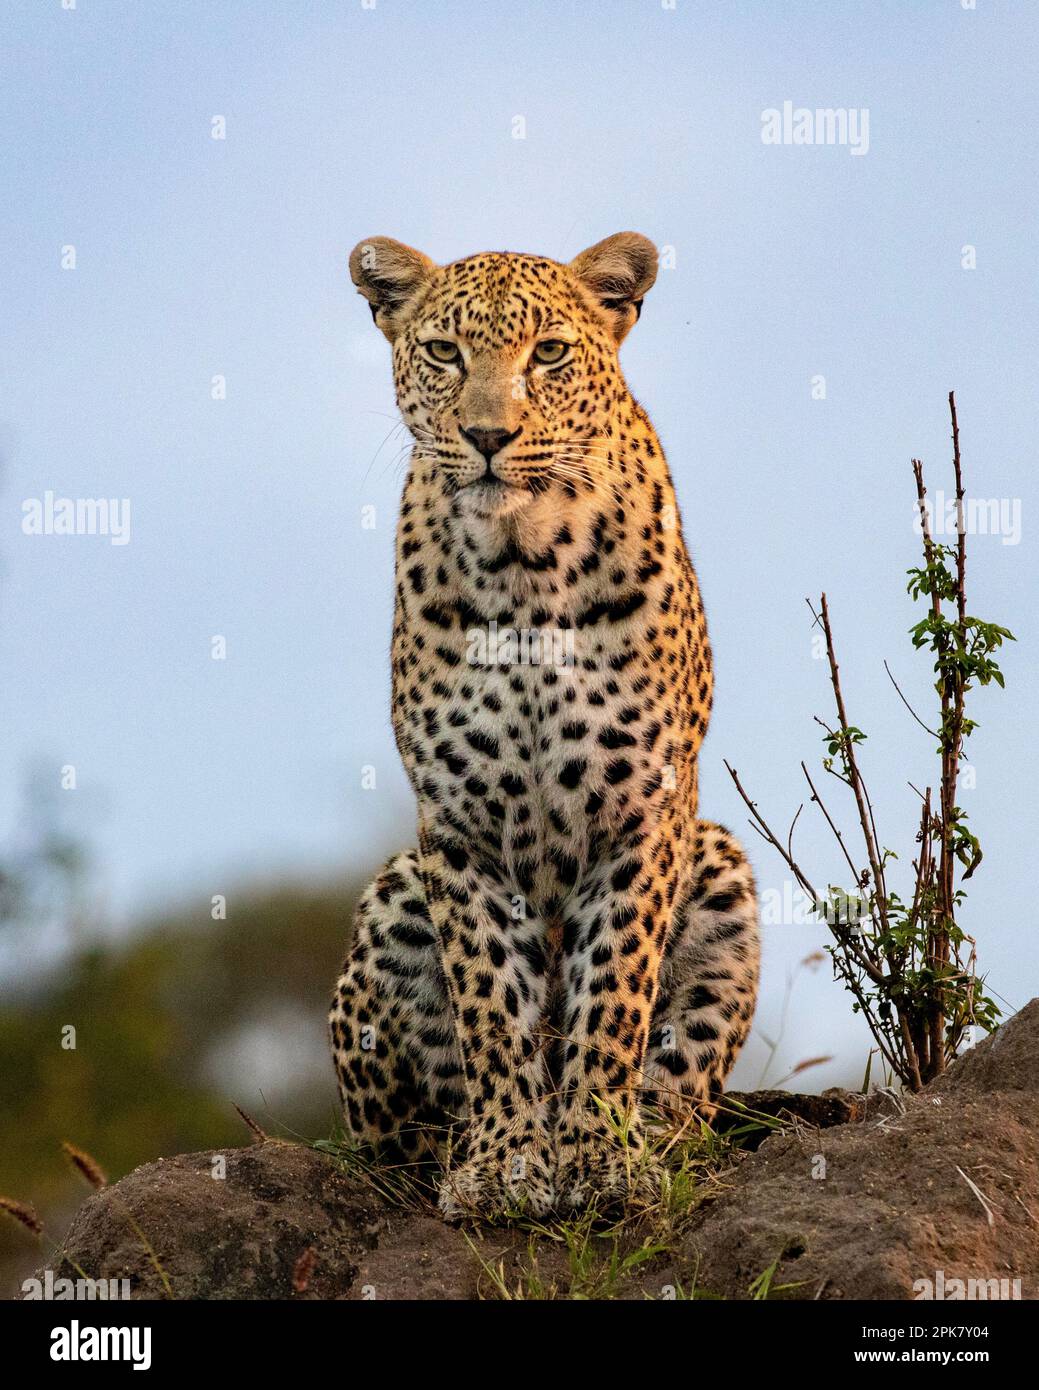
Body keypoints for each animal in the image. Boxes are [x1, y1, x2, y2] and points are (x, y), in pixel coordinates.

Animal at [329, 233, 762, 1223]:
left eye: (550, 354)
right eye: (443, 353)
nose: (488, 437)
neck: (522, 563)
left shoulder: (643, 810)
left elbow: (613, 993)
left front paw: (598, 1157)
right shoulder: (456, 827)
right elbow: (490, 1000)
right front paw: (504, 1163)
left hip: (721, 869)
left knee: (684, 1102)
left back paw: (650, 1140)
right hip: (393, 895)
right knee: (401, 1140)